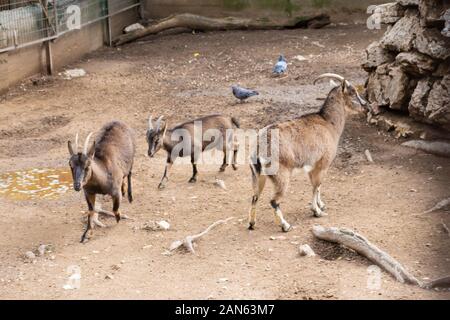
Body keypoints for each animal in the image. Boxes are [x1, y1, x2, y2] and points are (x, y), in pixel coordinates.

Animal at [248, 73, 368, 232]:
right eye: (353, 92)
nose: (366, 106)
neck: (328, 123)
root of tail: (259, 147)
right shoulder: (322, 163)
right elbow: (316, 186)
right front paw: (317, 211)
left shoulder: (313, 166)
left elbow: (317, 186)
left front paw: (321, 205)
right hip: (282, 175)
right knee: (274, 200)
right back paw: (285, 225)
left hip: (258, 175)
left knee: (254, 196)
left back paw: (251, 224)